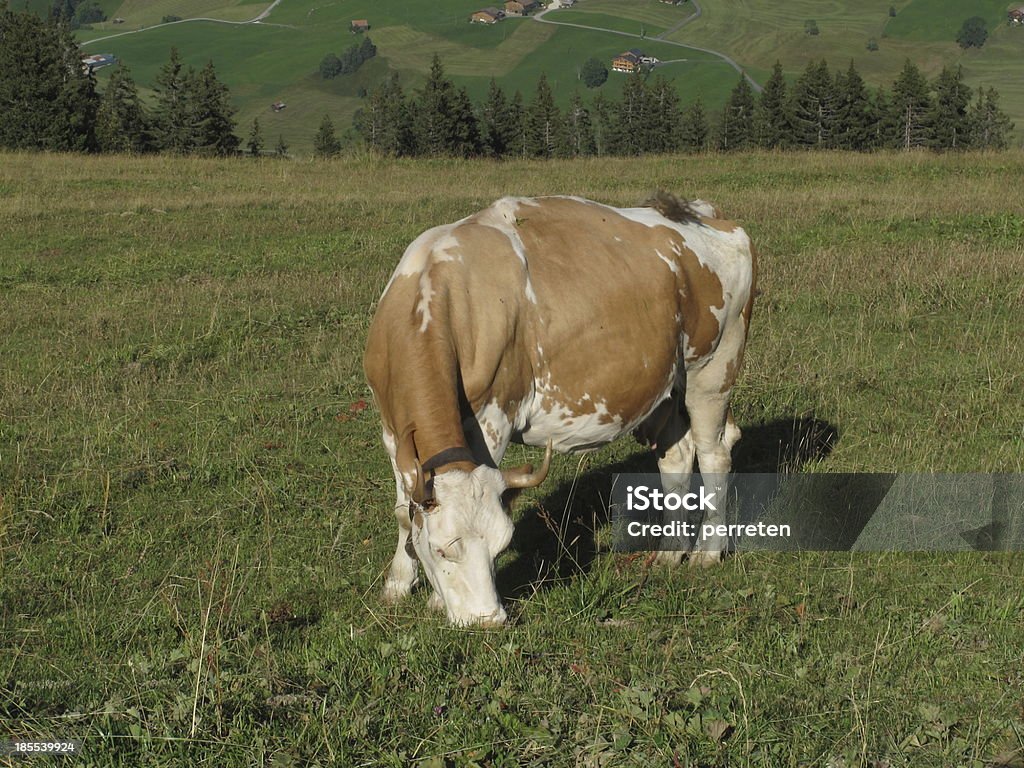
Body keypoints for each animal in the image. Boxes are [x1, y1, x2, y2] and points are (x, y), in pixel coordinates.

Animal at [364, 191, 757, 626]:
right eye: (442, 548)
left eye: (501, 546)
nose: (488, 621)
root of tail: (702, 212)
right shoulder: (392, 431)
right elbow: (404, 511)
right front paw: (398, 585)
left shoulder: (493, 419)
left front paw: (433, 599)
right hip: (667, 384)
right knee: (677, 456)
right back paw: (670, 553)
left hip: (714, 367)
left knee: (714, 454)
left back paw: (708, 551)